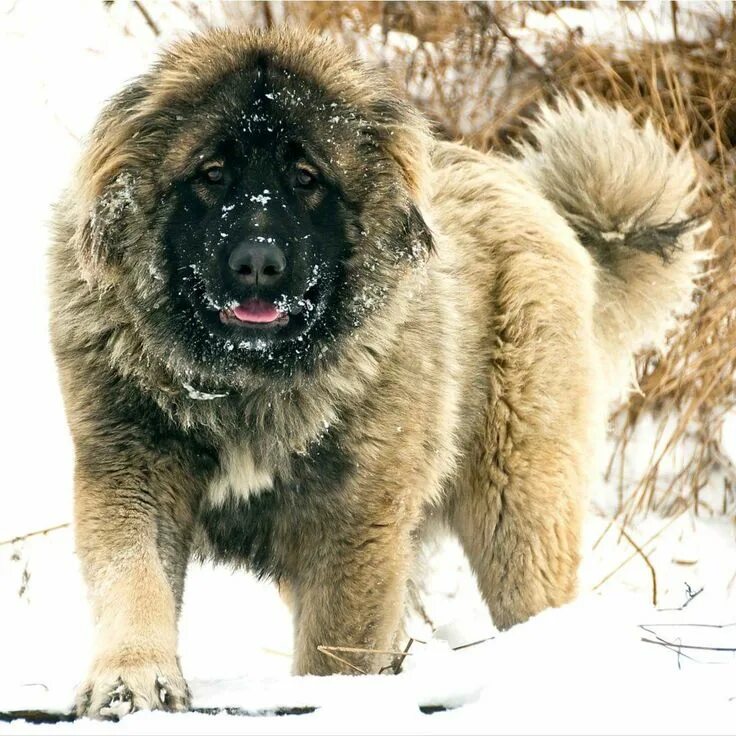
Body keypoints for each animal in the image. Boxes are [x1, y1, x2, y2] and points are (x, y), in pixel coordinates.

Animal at [49, 28, 704, 720]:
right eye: (212, 173)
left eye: (306, 177)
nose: (257, 263)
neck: (250, 384)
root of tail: (536, 201)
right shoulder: (132, 469)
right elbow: (134, 580)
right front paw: (132, 683)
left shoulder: (355, 521)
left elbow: (337, 645)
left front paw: (328, 702)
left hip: (517, 507)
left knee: (533, 596)